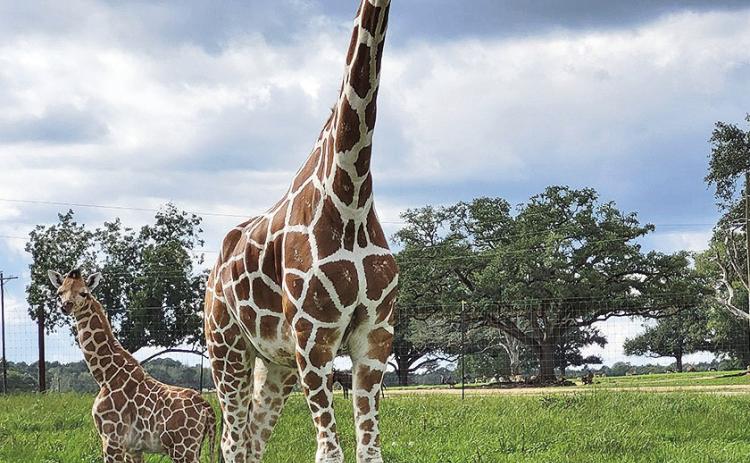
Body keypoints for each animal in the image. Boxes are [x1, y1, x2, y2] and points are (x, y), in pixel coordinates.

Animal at [48, 269, 217, 463]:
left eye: (84, 293)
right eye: (59, 292)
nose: (66, 306)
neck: (105, 375)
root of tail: (207, 408)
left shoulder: (111, 438)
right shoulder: (133, 448)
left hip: (183, 449)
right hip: (193, 447)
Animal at [204, 1, 396, 462]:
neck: (350, 198)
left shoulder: (376, 337)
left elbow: (369, 451)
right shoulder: (314, 337)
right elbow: (329, 452)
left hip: (276, 361)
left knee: (252, 441)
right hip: (226, 346)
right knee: (232, 441)